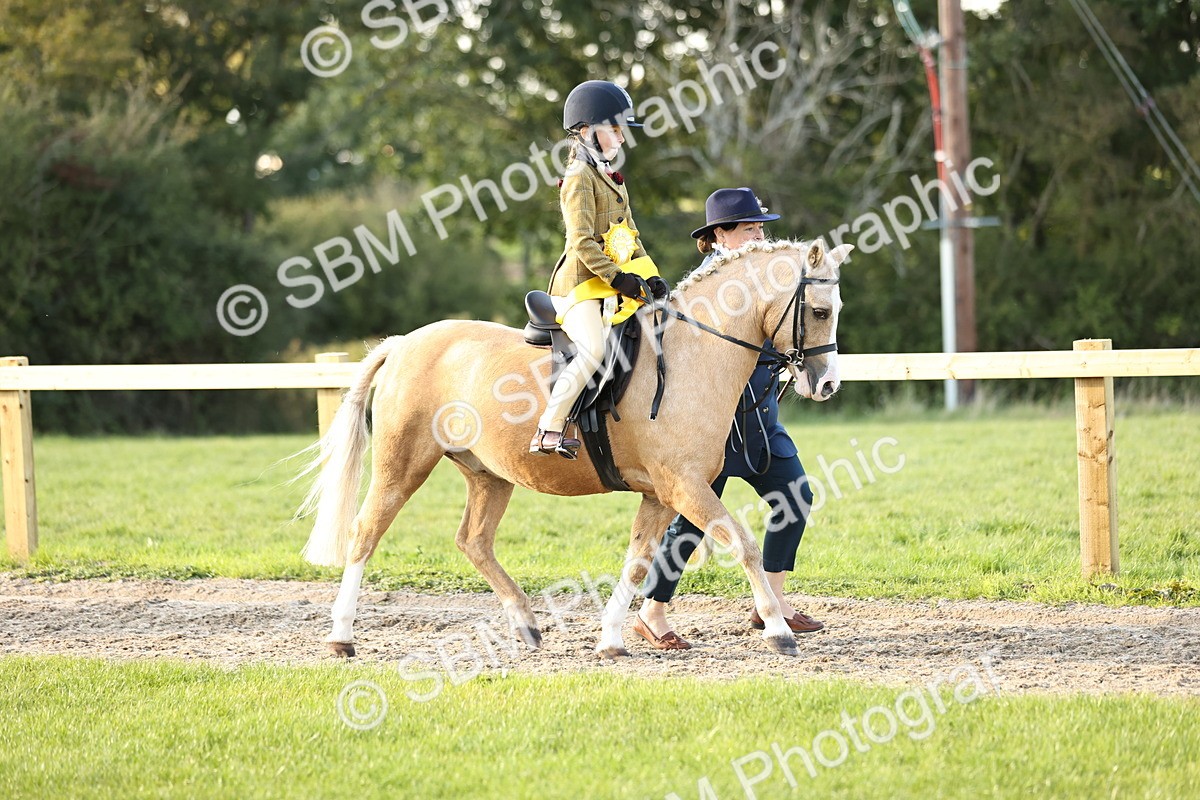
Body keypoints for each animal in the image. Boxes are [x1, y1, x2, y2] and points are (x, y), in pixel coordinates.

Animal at [297, 238, 852, 658]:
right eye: (819, 310)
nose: (827, 385)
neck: (690, 355)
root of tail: (405, 343)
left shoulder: (660, 494)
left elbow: (638, 560)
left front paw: (610, 641)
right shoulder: (685, 486)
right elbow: (744, 544)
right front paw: (778, 631)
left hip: (489, 475)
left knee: (473, 541)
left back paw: (526, 623)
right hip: (403, 465)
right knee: (365, 533)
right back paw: (341, 637)